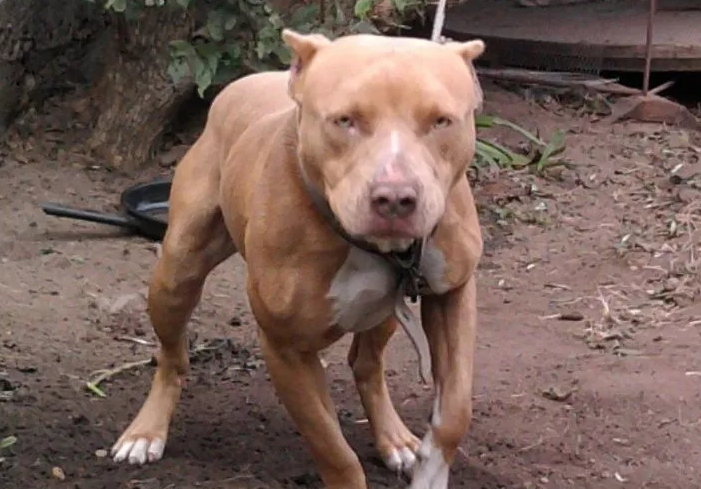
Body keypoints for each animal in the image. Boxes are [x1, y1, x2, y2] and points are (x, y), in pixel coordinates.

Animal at [110, 29, 485, 489]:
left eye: (441, 121)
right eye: (345, 120)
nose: (396, 198)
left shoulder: (454, 293)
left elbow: (455, 411)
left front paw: (431, 468)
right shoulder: (285, 348)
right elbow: (332, 449)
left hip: (387, 308)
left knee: (367, 365)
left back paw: (394, 439)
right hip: (175, 275)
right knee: (172, 356)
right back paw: (145, 433)